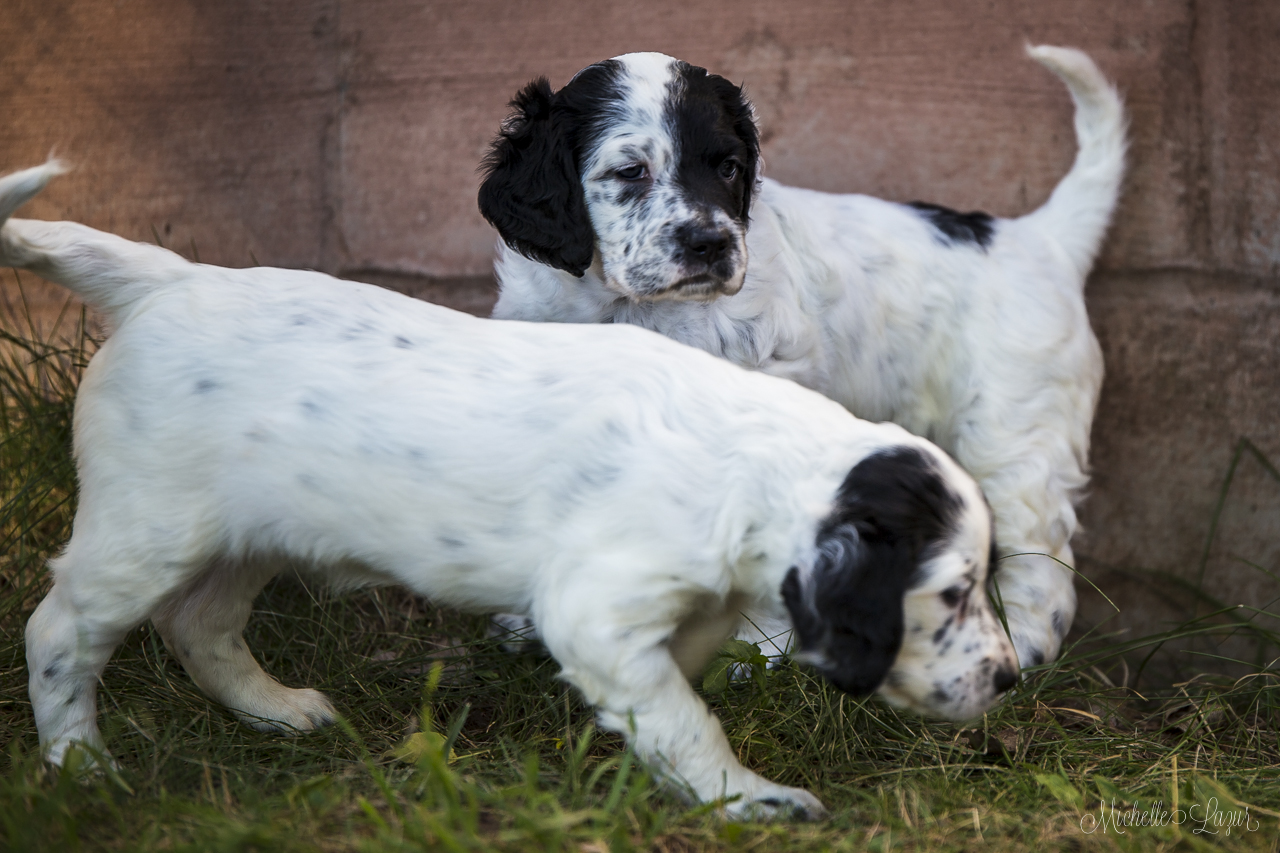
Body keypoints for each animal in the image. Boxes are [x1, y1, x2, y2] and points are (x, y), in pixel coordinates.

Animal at [2, 161, 1018, 819]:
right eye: (951, 595)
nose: (1011, 678)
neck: (748, 452)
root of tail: (164, 283)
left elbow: (674, 686)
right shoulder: (594, 606)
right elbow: (685, 717)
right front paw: (750, 797)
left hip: (251, 532)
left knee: (200, 624)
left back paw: (279, 709)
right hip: (144, 526)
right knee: (58, 634)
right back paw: (84, 768)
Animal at [481, 44, 1131, 671]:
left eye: (728, 167)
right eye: (630, 172)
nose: (712, 244)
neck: (629, 306)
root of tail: (1040, 239)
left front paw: (756, 649)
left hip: (1017, 434)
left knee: (1041, 561)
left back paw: (1018, 651)